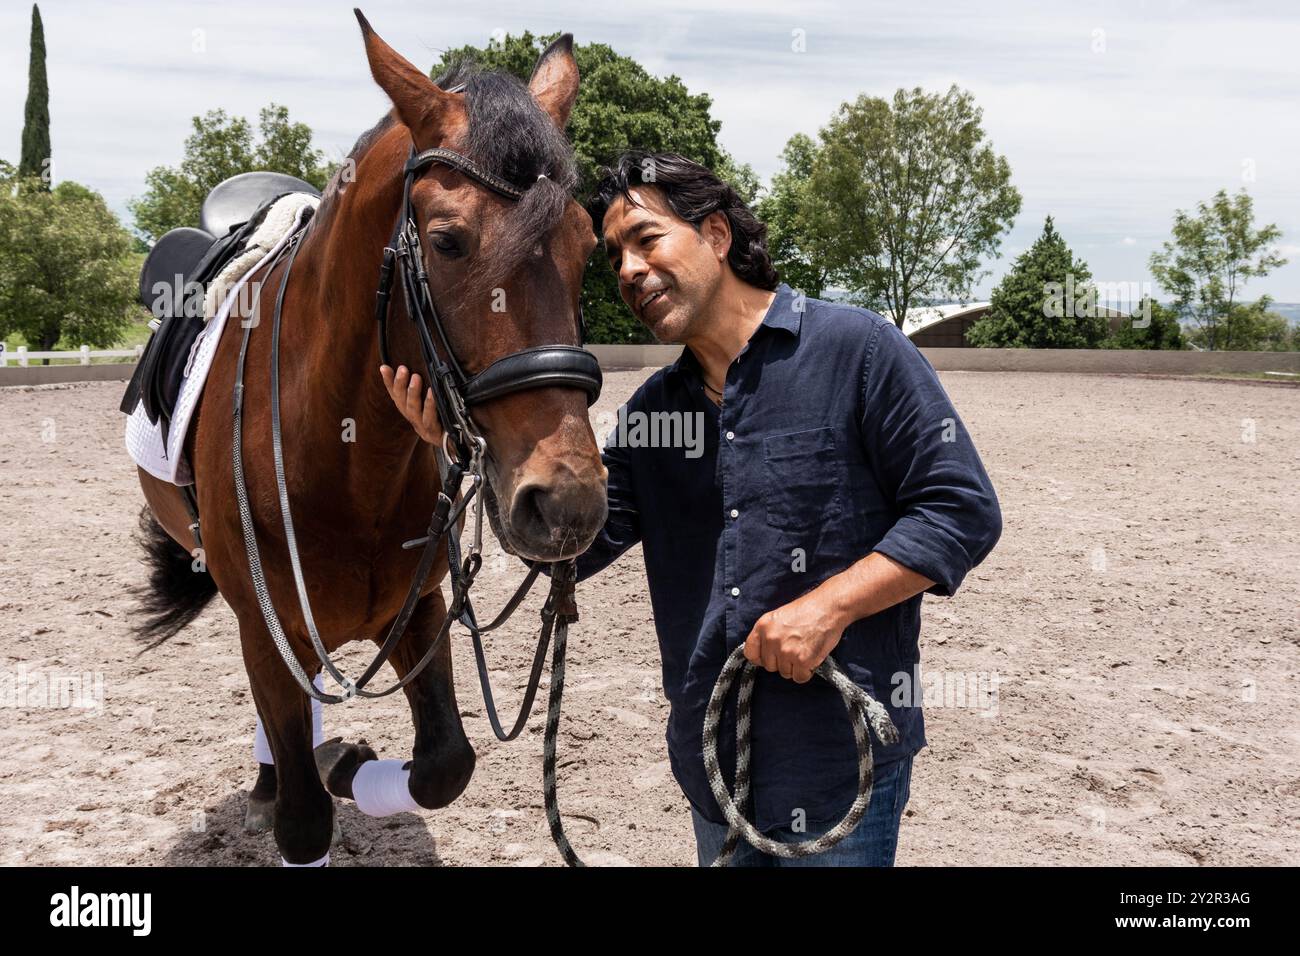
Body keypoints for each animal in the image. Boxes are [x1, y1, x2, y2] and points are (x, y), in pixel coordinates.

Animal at [134, 14, 611, 868]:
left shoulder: (420, 608)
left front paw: (342, 761)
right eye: (448, 242)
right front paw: (308, 774)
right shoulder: (267, 626)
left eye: (587, 243)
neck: (342, 455)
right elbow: (304, 818)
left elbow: (445, 766)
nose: (567, 503)